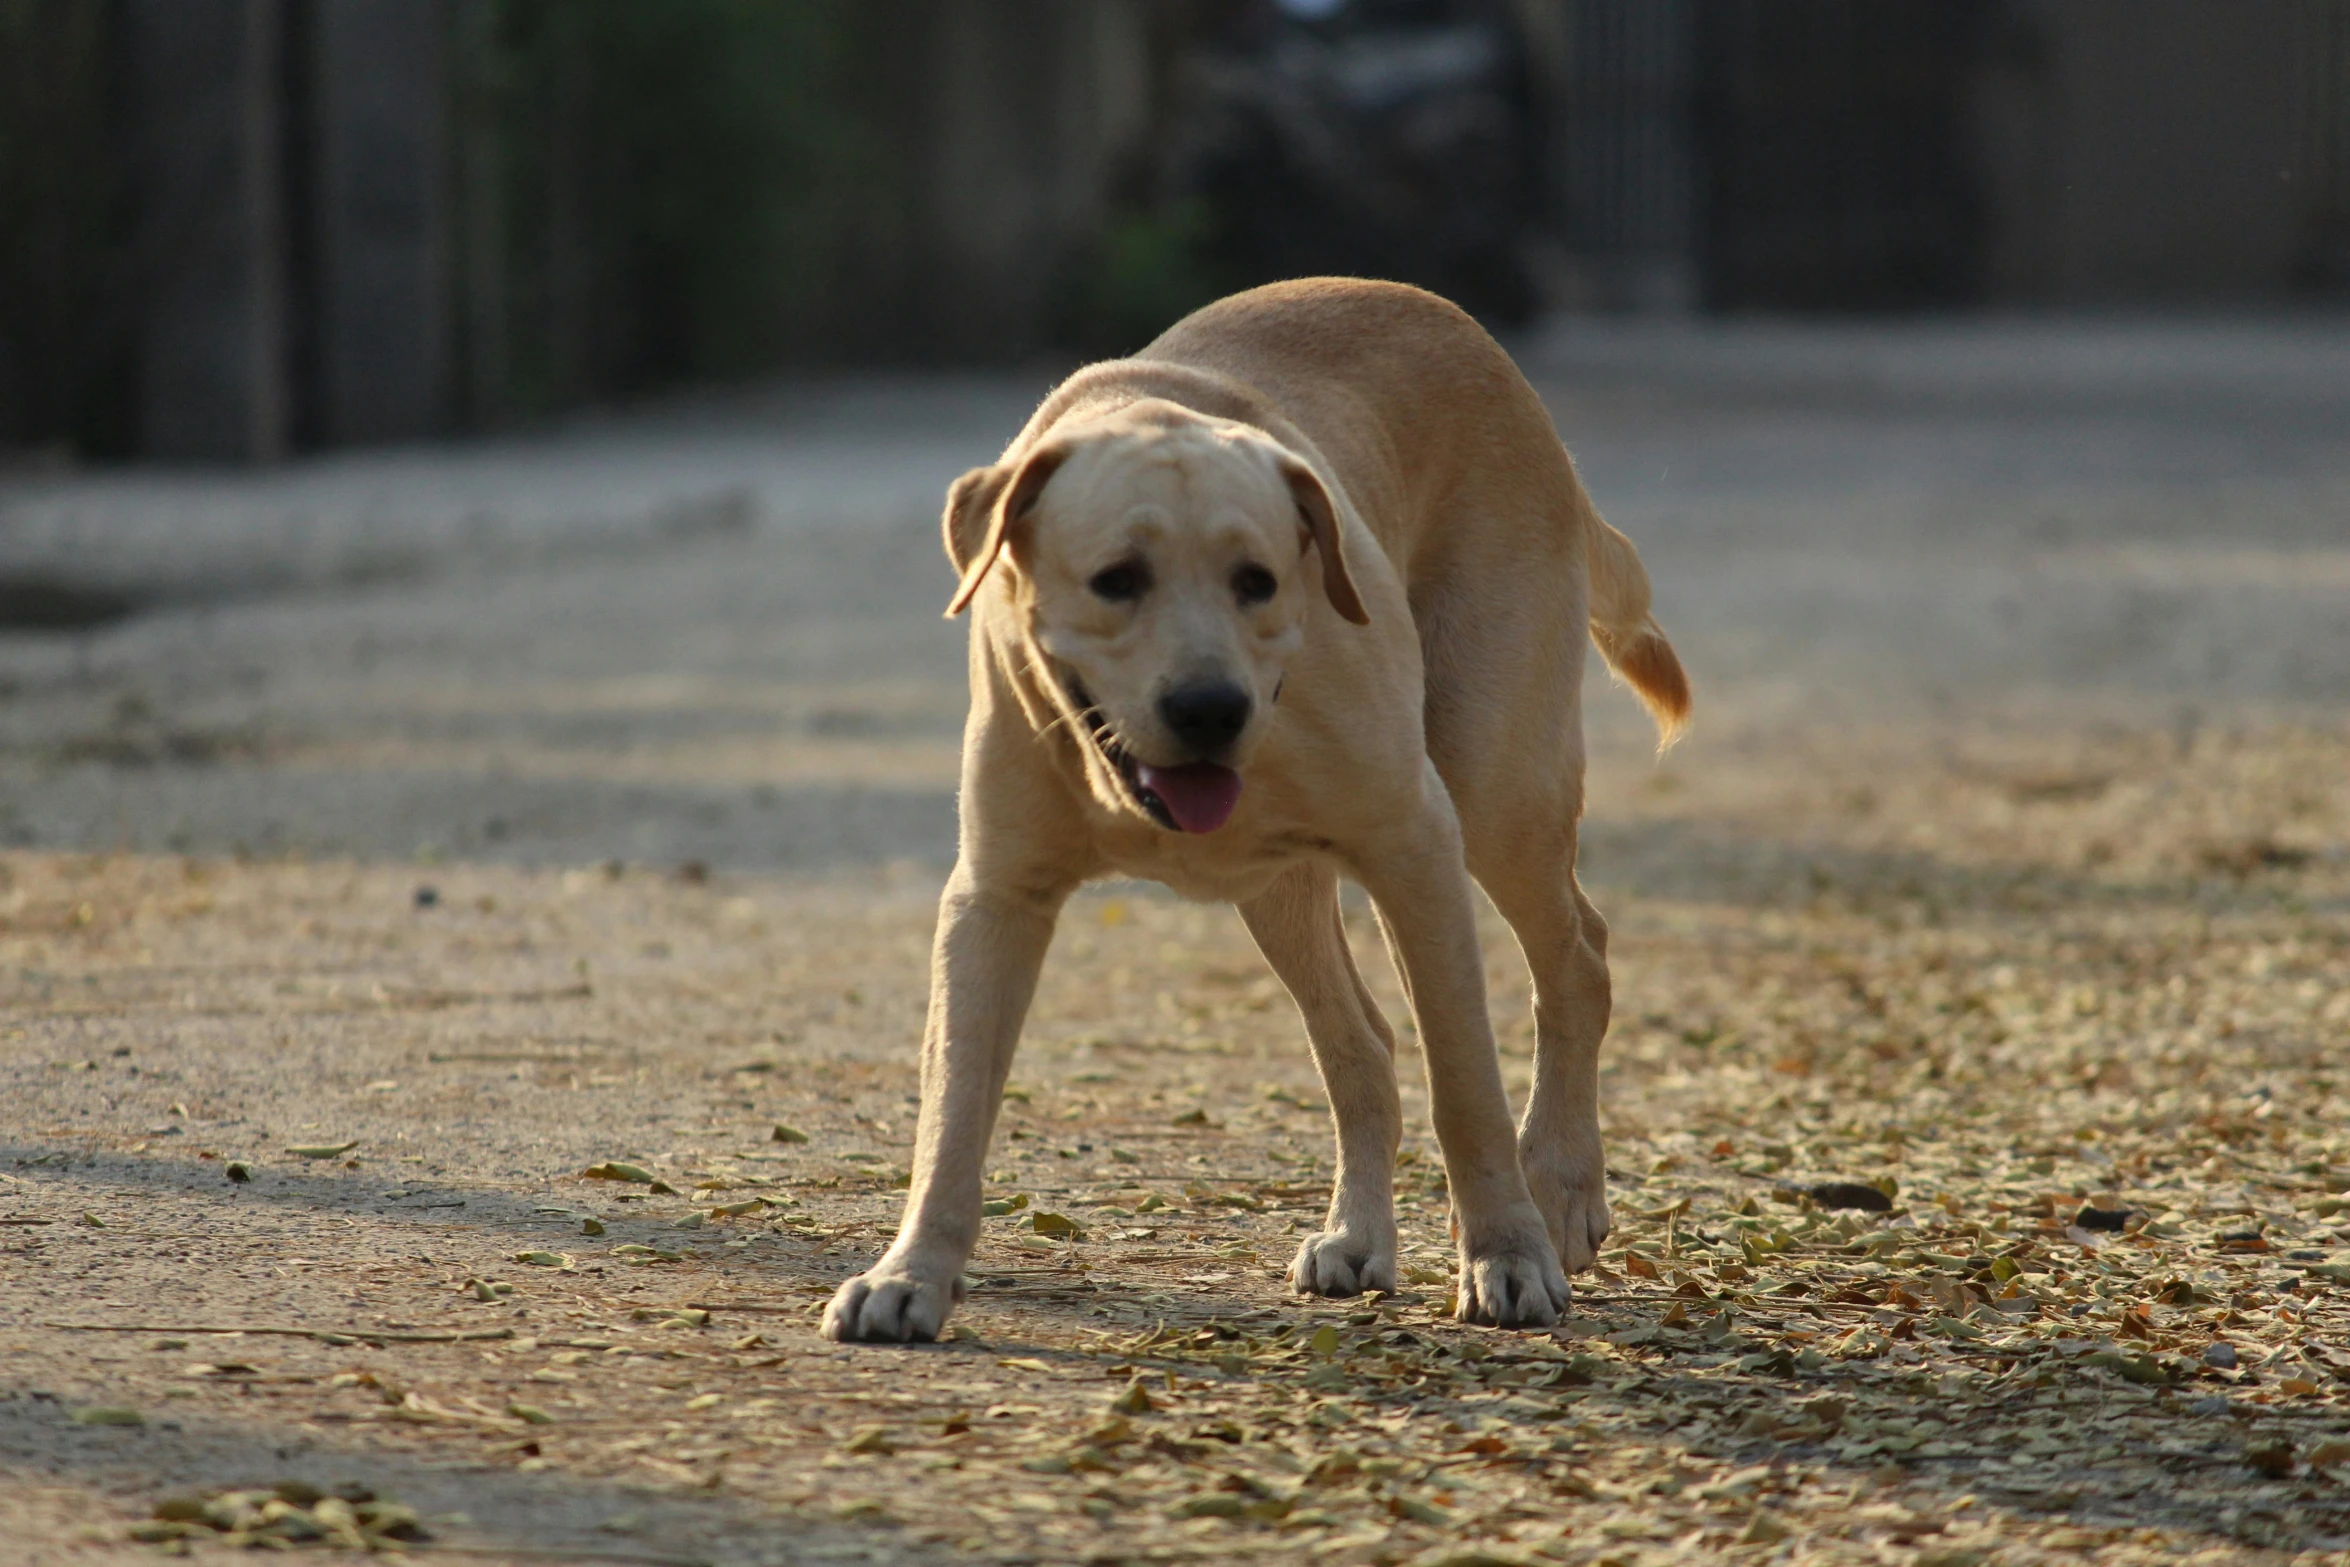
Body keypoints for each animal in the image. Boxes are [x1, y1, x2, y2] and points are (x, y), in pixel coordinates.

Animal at [827, 276, 1691, 1343]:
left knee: (1578, 957)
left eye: (1259, 581)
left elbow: (1465, 1087)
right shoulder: (995, 898)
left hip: (1496, 788)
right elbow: (952, 1105)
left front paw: (1506, 1252)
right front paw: (911, 1273)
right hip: (1277, 890)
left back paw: (1561, 1188)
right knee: (1362, 1045)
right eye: (1116, 579)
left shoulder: (1415, 846)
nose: (1210, 708)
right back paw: (1360, 1235)